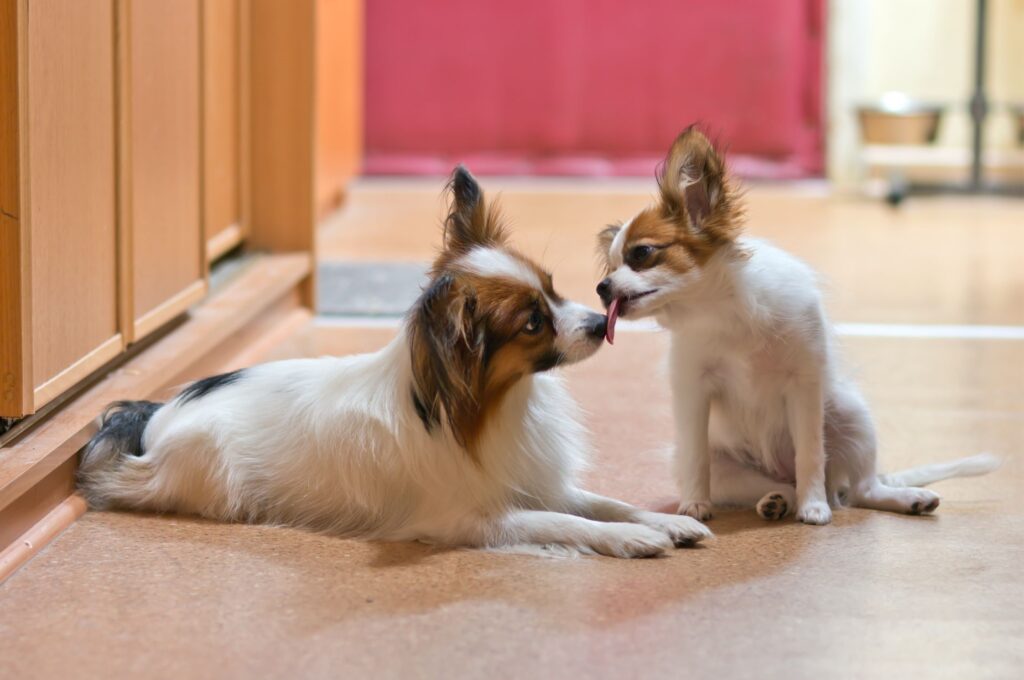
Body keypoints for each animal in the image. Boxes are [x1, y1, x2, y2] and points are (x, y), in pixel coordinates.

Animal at [77, 165, 712, 557]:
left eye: (554, 290)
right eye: (533, 323)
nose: (598, 324)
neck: (493, 405)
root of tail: (159, 415)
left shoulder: (535, 477)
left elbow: (607, 503)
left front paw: (668, 521)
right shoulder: (472, 517)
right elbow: (569, 521)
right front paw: (628, 541)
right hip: (211, 476)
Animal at [598, 124, 995, 522]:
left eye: (642, 254)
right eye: (610, 267)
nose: (601, 288)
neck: (724, 310)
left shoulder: (804, 384)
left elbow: (810, 453)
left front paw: (814, 506)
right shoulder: (693, 391)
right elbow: (697, 458)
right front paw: (695, 505)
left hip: (851, 415)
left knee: (862, 488)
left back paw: (896, 498)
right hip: (727, 469)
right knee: (781, 485)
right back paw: (776, 501)